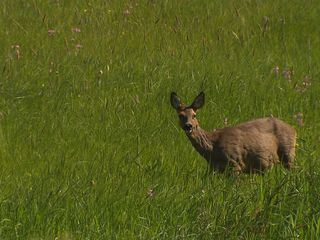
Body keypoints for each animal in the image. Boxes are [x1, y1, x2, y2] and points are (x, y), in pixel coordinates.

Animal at [170, 92, 298, 174]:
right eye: (180, 115)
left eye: (194, 115)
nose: (188, 126)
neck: (212, 148)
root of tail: (293, 129)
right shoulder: (214, 169)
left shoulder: (235, 163)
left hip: (288, 152)